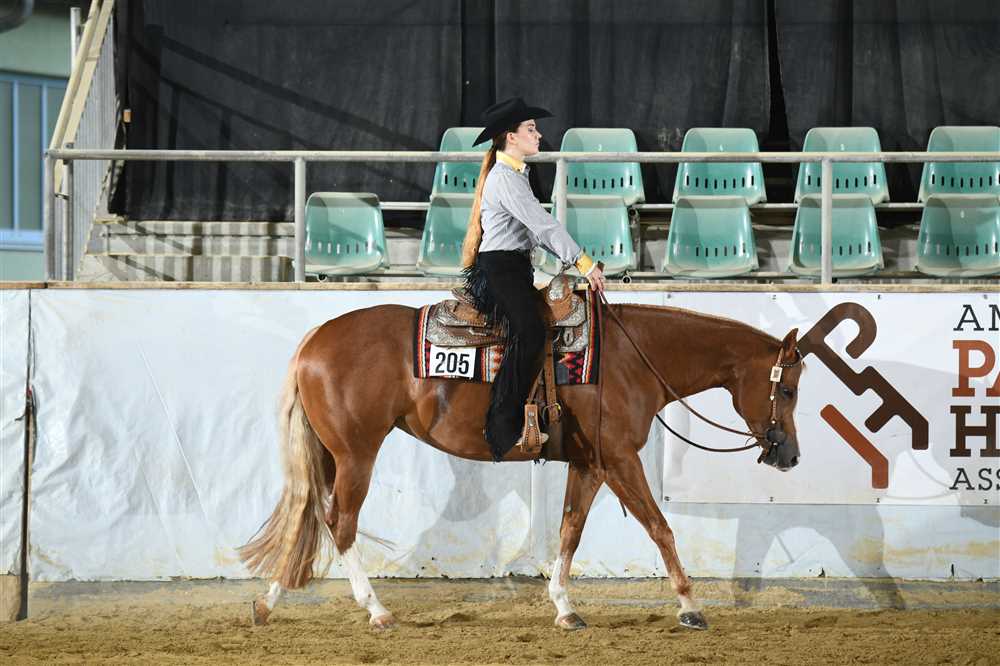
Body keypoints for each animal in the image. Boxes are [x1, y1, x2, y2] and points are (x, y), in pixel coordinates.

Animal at [239, 296, 804, 631]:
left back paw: (269, 602)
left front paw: (565, 608)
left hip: (332, 454)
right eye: (789, 389)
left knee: (308, 516)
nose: (790, 454)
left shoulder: (591, 463)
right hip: (357, 453)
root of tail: (313, 341)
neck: (631, 357)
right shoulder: (621, 459)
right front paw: (689, 606)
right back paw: (376, 610)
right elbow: (660, 527)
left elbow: (570, 530)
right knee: (341, 523)